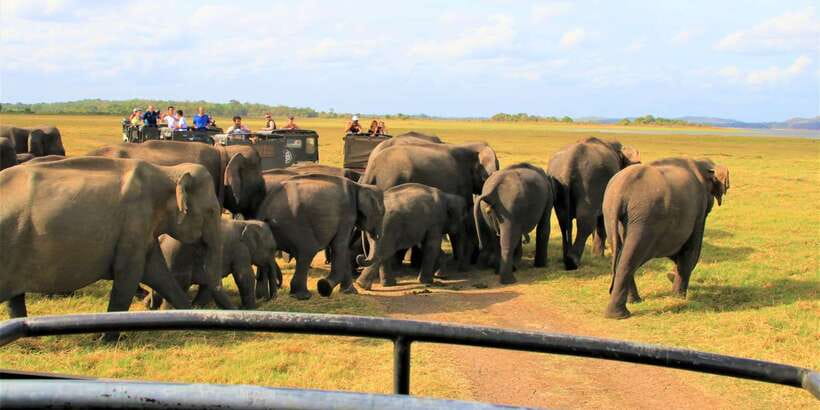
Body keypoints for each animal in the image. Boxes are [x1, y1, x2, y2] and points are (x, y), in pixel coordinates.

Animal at [0, 156, 231, 323]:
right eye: (211, 211)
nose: (238, 311)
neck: (166, 171)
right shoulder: (133, 223)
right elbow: (128, 276)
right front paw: (105, 338)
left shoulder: (144, 232)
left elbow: (159, 273)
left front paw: (188, 316)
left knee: (15, 298)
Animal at [146, 219, 280, 310]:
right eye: (272, 249)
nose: (269, 299)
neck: (245, 222)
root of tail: (161, 239)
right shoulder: (240, 249)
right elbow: (244, 275)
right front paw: (250, 309)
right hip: (176, 258)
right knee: (177, 284)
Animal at [255, 174, 384, 299]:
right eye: (381, 214)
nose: (361, 256)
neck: (359, 186)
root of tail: (264, 208)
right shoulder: (347, 215)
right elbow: (340, 247)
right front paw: (324, 286)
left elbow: (341, 250)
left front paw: (349, 292)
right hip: (293, 225)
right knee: (307, 250)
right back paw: (302, 296)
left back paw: (261, 297)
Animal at [547, 137, 640, 270]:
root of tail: (569, 165)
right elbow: (601, 220)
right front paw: (598, 257)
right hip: (590, 182)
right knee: (585, 221)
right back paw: (572, 262)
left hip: (559, 184)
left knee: (564, 221)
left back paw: (566, 259)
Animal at [602, 157, 730, 319]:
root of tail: (620, 193)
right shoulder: (699, 213)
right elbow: (691, 252)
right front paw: (678, 296)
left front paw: (672, 277)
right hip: (644, 221)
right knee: (629, 259)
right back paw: (621, 314)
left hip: (610, 216)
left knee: (620, 255)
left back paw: (632, 303)